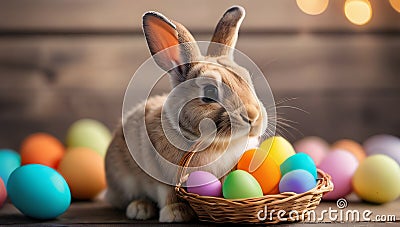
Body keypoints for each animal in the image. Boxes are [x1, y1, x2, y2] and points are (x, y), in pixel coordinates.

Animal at [105, 6, 268, 223]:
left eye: (247, 80)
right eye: (209, 92)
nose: (253, 116)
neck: (217, 144)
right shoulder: (162, 177)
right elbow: (168, 194)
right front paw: (176, 214)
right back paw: (140, 208)